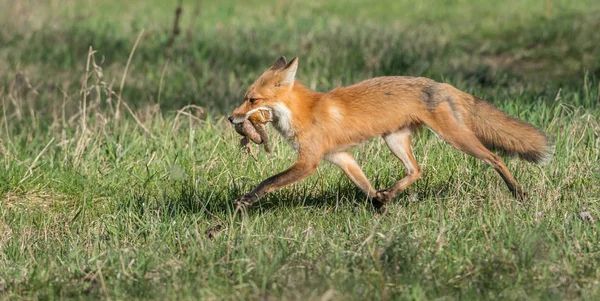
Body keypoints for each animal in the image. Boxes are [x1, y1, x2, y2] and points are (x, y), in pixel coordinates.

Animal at [229, 56, 552, 210]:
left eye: (252, 100)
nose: (231, 118)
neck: (304, 111)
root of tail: (441, 84)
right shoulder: (340, 156)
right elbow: (365, 186)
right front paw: (379, 205)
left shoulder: (309, 162)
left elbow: (270, 181)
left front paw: (248, 199)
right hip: (394, 140)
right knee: (416, 170)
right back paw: (391, 193)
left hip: (455, 138)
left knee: (495, 159)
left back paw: (518, 192)